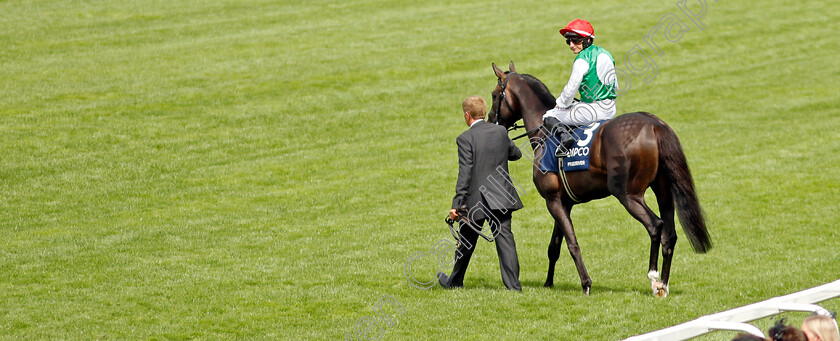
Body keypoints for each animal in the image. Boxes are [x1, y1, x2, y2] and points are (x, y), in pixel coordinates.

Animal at [488, 61, 712, 294]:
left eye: (495, 95)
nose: (491, 120)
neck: (545, 135)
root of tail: (654, 124)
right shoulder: (563, 201)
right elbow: (554, 246)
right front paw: (548, 283)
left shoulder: (552, 200)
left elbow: (572, 244)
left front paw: (586, 284)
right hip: (664, 193)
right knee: (670, 234)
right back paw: (664, 285)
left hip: (628, 194)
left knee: (655, 226)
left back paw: (653, 276)